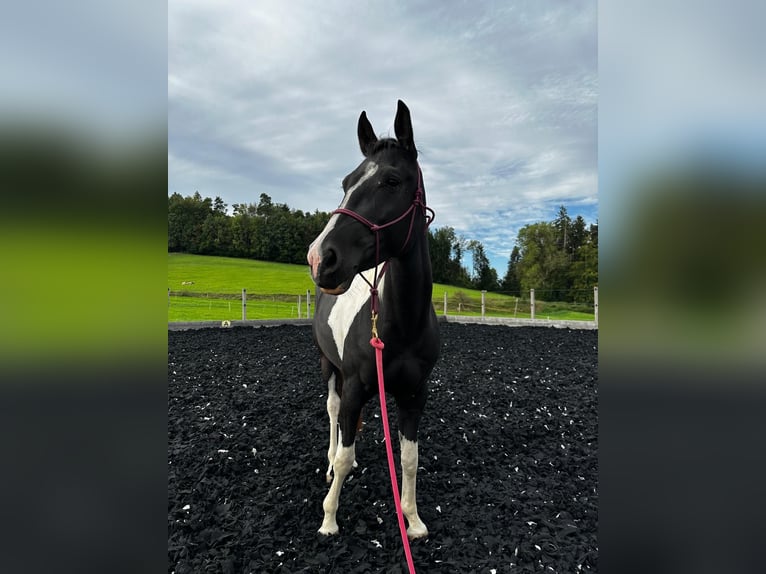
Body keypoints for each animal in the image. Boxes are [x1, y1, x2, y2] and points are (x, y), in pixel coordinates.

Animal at [306, 100, 439, 539]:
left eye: (391, 180)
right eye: (346, 182)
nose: (320, 257)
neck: (403, 326)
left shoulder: (415, 395)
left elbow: (410, 459)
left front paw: (412, 520)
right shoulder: (353, 388)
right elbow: (345, 455)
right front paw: (329, 518)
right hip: (328, 366)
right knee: (332, 414)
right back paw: (329, 465)